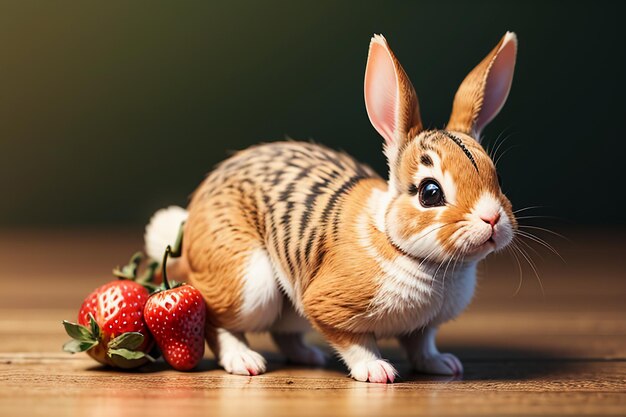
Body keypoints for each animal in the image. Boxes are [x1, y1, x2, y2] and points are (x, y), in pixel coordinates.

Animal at [145, 31, 516, 384]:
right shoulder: (326, 305)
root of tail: (189, 238)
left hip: (286, 307)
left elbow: (422, 345)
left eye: (496, 177)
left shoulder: (424, 327)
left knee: (282, 334)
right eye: (430, 192)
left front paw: (442, 365)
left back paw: (309, 357)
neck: (399, 244)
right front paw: (376, 370)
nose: (492, 218)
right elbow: (356, 343)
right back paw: (245, 361)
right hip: (251, 285)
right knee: (216, 320)